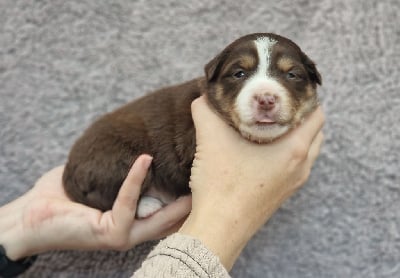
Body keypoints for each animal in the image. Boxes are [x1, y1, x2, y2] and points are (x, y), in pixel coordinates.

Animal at [62, 33, 322, 218]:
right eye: (239, 73)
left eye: (292, 75)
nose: (266, 99)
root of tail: (69, 167)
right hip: (120, 157)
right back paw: (148, 205)